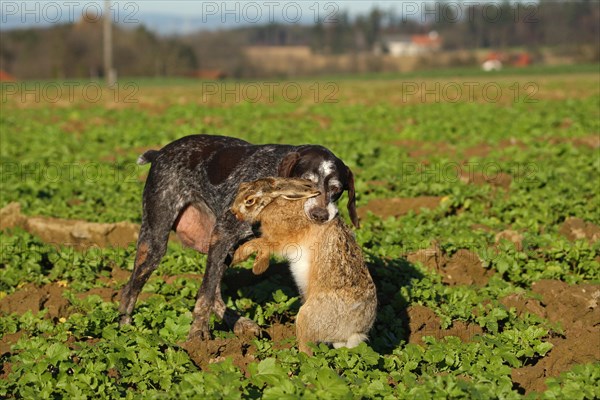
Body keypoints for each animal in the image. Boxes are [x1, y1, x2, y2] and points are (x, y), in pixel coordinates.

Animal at [119, 135, 358, 340]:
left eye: (336, 189)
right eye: (306, 184)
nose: (320, 215)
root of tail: (160, 152)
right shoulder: (223, 234)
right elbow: (204, 295)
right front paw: (197, 337)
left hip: (223, 248)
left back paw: (240, 323)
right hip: (156, 241)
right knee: (130, 289)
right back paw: (124, 330)